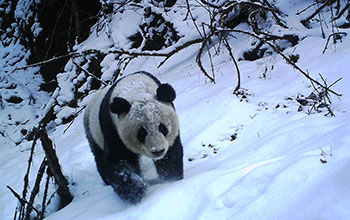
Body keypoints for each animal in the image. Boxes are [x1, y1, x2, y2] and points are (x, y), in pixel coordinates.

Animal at [83, 71, 185, 204]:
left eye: (162, 128)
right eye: (142, 133)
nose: (158, 151)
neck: (135, 88)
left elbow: (171, 154)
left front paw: (171, 179)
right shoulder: (112, 127)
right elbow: (119, 160)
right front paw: (135, 191)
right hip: (92, 132)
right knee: (98, 157)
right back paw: (107, 181)